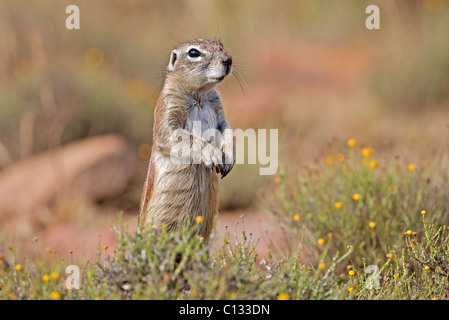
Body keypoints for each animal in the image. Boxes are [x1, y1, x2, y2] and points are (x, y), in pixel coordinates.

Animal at [139, 38, 234, 240]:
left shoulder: (220, 111)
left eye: (221, 45)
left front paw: (229, 157)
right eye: (193, 53)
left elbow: (227, 128)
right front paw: (213, 154)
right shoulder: (168, 108)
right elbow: (178, 135)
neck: (199, 93)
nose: (228, 59)